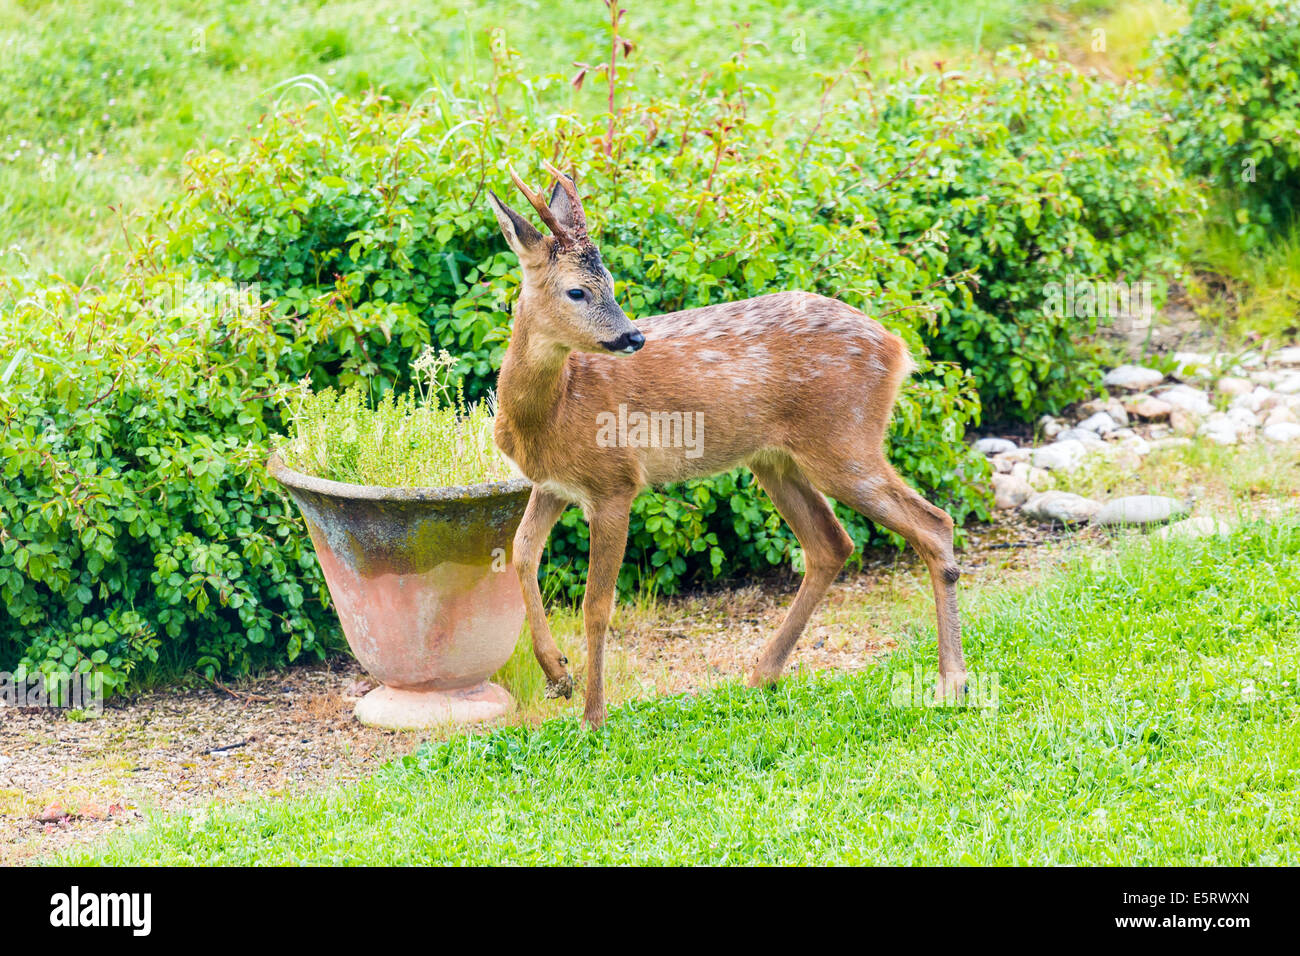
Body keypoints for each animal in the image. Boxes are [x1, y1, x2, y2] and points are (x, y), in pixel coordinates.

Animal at [487, 163, 967, 728]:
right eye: (578, 291)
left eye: (611, 283)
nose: (633, 337)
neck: (554, 409)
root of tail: (898, 348)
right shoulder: (553, 483)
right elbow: (520, 553)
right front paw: (557, 674)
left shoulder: (616, 482)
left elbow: (595, 605)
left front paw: (593, 716)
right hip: (776, 459)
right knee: (832, 543)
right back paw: (762, 675)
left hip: (844, 440)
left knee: (933, 523)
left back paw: (952, 682)